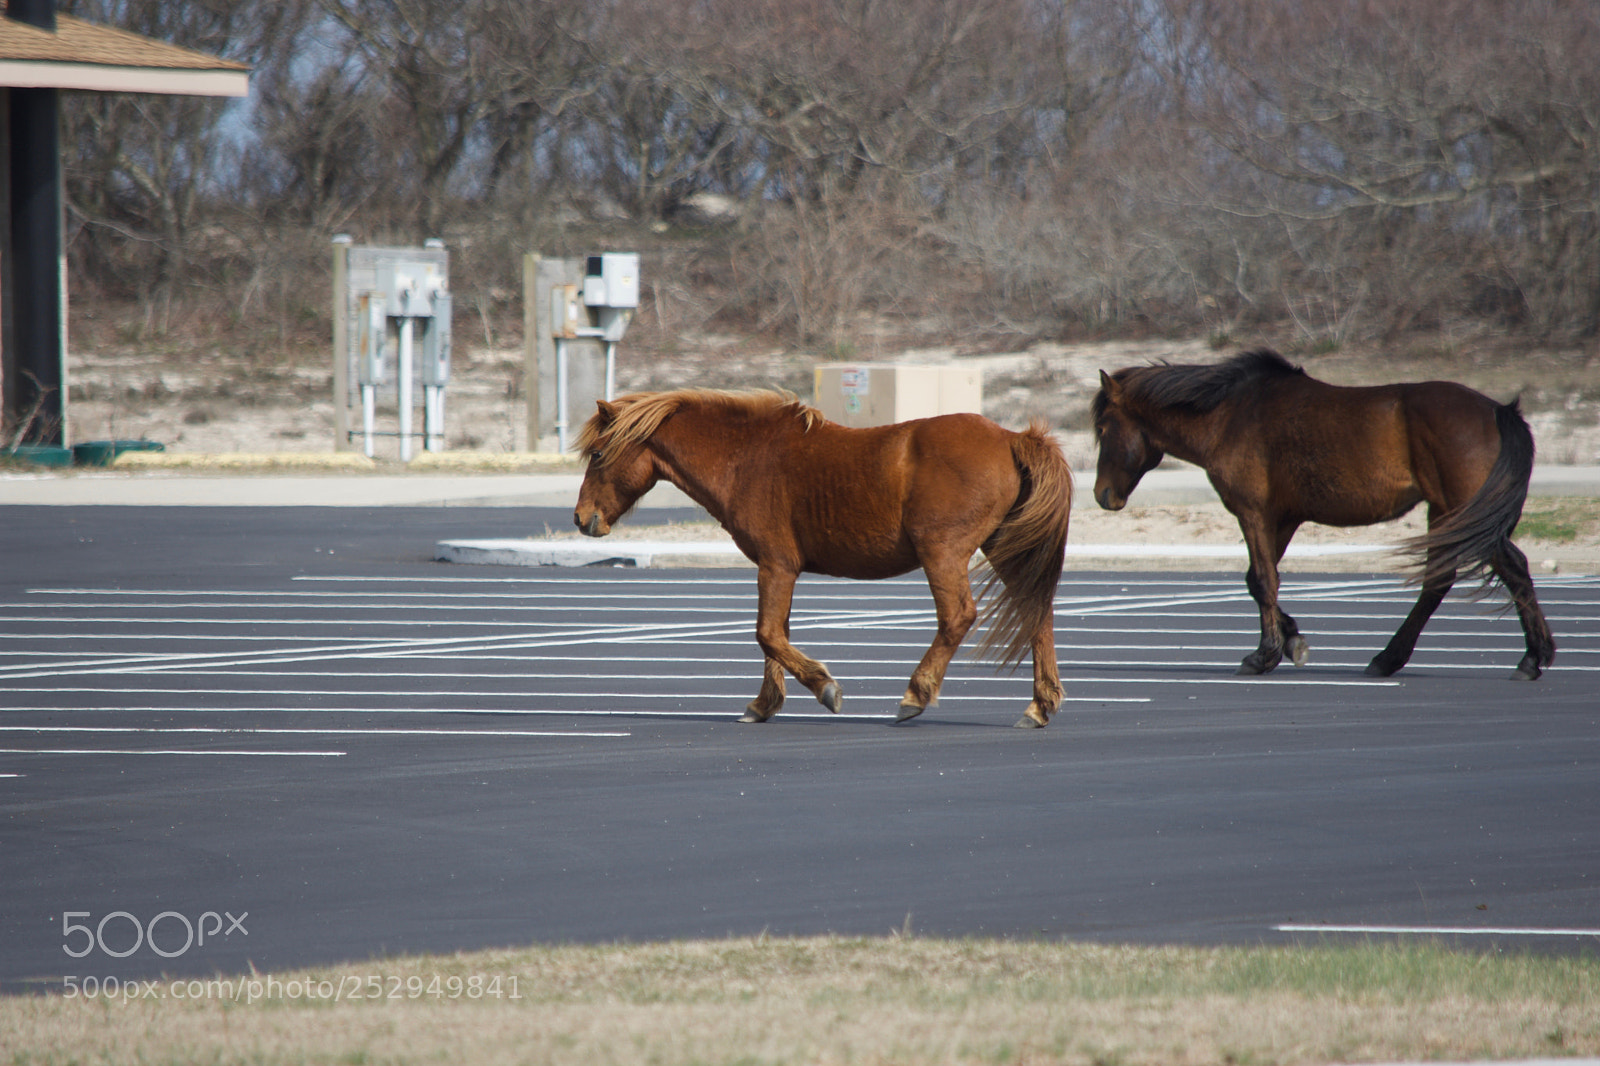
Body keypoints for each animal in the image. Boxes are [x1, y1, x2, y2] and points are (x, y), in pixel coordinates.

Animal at [573, 388, 1074, 727]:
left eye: (597, 454)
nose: (581, 519)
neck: (746, 457)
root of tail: (1012, 438)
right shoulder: (778, 571)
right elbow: (776, 635)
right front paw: (764, 705)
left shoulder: (776, 565)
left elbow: (767, 635)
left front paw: (824, 688)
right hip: (1004, 550)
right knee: (1036, 612)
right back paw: (1039, 705)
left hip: (942, 553)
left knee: (958, 617)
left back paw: (916, 694)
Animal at [1091, 348, 1555, 680]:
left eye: (1103, 428)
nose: (1102, 495)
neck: (1228, 415)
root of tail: (1499, 411)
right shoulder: (1281, 518)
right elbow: (1259, 580)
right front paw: (1291, 640)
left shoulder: (1252, 513)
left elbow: (1263, 581)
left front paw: (1264, 655)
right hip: (1448, 515)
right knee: (1441, 581)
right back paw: (1391, 659)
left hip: (1465, 513)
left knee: (1511, 568)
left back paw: (1531, 659)